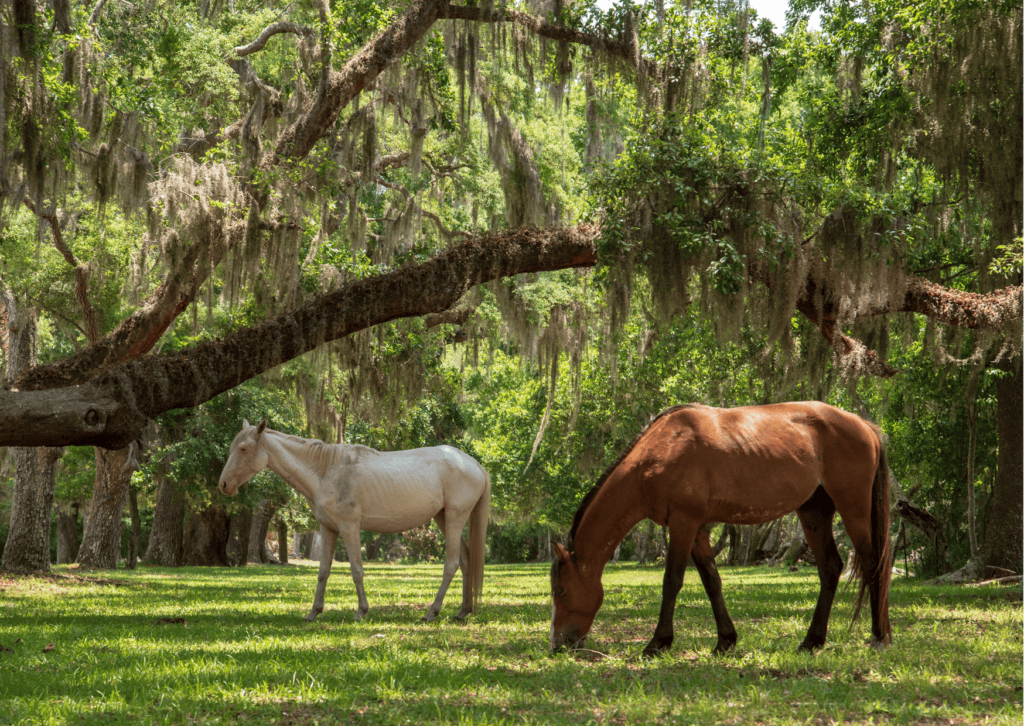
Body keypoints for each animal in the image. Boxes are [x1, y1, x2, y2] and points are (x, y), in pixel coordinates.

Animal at [217, 421, 491, 618]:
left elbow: (357, 570)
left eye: (243, 449)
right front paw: (314, 612)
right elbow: (323, 571)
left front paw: (362, 611)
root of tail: (474, 464)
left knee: (451, 564)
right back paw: (462, 611)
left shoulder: (349, 528)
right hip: (442, 519)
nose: (224, 484)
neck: (325, 470)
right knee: (465, 561)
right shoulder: (328, 529)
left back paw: (432, 612)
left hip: (455, 518)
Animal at [548, 401, 892, 655]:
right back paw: (812, 642)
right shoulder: (696, 527)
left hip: (853, 508)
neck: (663, 449)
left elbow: (671, 581)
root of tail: (865, 427)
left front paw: (658, 643)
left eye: (561, 590)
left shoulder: (684, 522)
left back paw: (877, 637)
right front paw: (725, 640)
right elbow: (712, 581)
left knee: (871, 564)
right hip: (814, 512)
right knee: (830, 568)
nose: (558, 644)